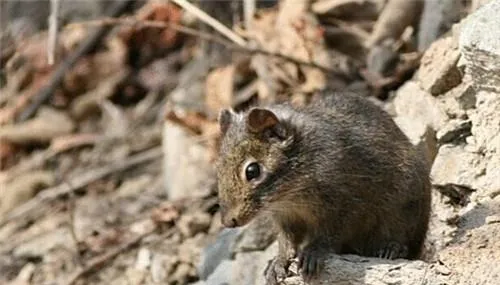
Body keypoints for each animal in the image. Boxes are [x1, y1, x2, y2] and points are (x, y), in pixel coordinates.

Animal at [217, 90, 432, 282]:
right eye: (218, 168)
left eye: (252, 171)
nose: (228, 222)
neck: (290, 195)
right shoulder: (287, 218)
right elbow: (286, 241)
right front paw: (278, 261)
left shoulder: (345, 205)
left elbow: (329, 235)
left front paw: (313, 252)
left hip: (404, 209)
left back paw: (391, 248)